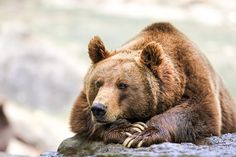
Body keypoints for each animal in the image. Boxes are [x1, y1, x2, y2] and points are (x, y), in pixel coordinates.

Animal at [69, 22, 236, 147]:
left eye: (122, 85)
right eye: (98, 83)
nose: (99, 109)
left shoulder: (194, 77)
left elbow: (199, 113)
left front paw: (142, 135)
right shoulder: (85, 101)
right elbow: (80, 115)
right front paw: (129, 129)